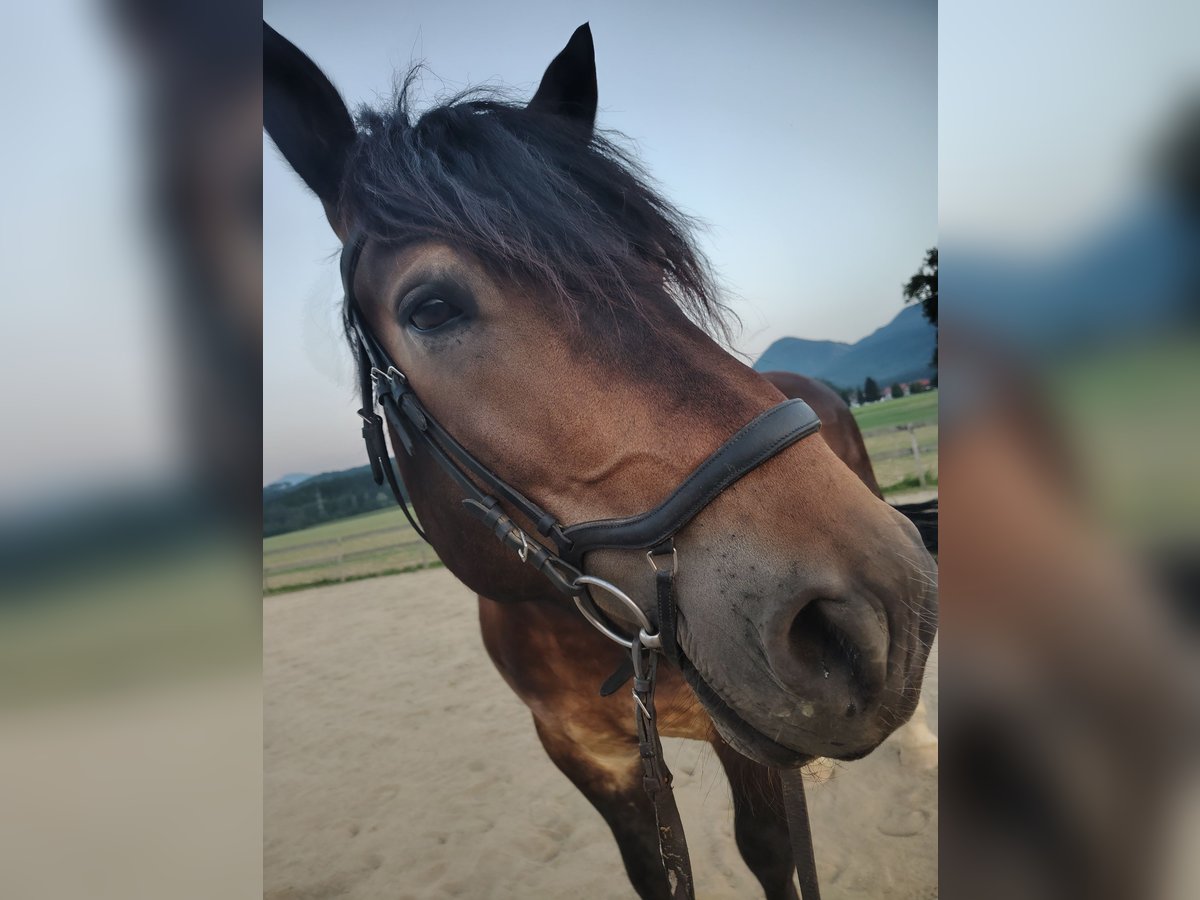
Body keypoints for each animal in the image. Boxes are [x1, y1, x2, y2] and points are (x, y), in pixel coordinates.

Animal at [265, 22, 937, 900]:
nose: (869, 613)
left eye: (649, 271)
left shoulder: (743, 753)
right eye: (431, 308)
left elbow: (770, 852)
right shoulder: (590, 759)